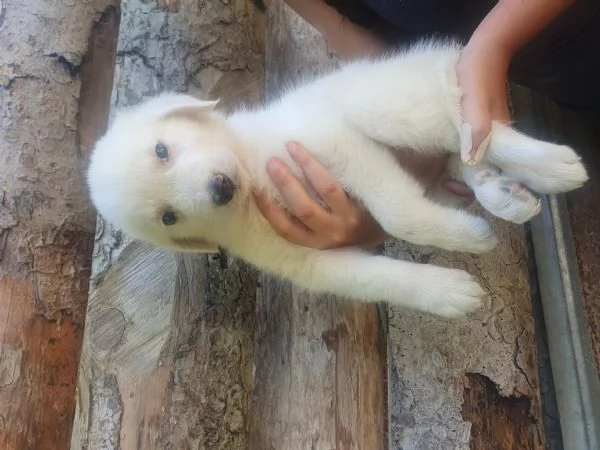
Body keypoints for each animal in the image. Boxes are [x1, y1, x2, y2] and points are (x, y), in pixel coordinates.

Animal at [86, 41, 588, 316]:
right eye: (167, 217)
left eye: (162, 151)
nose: (219, 189)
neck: (254, 177)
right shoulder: (305, 259)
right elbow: (376, 279)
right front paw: (448, 293)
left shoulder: (328, 140)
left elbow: (400, 214)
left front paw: (467, 237)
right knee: (461, 156)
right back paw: (502, 192)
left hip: (388, 104)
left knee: (471, 126)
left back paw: (552, 164)